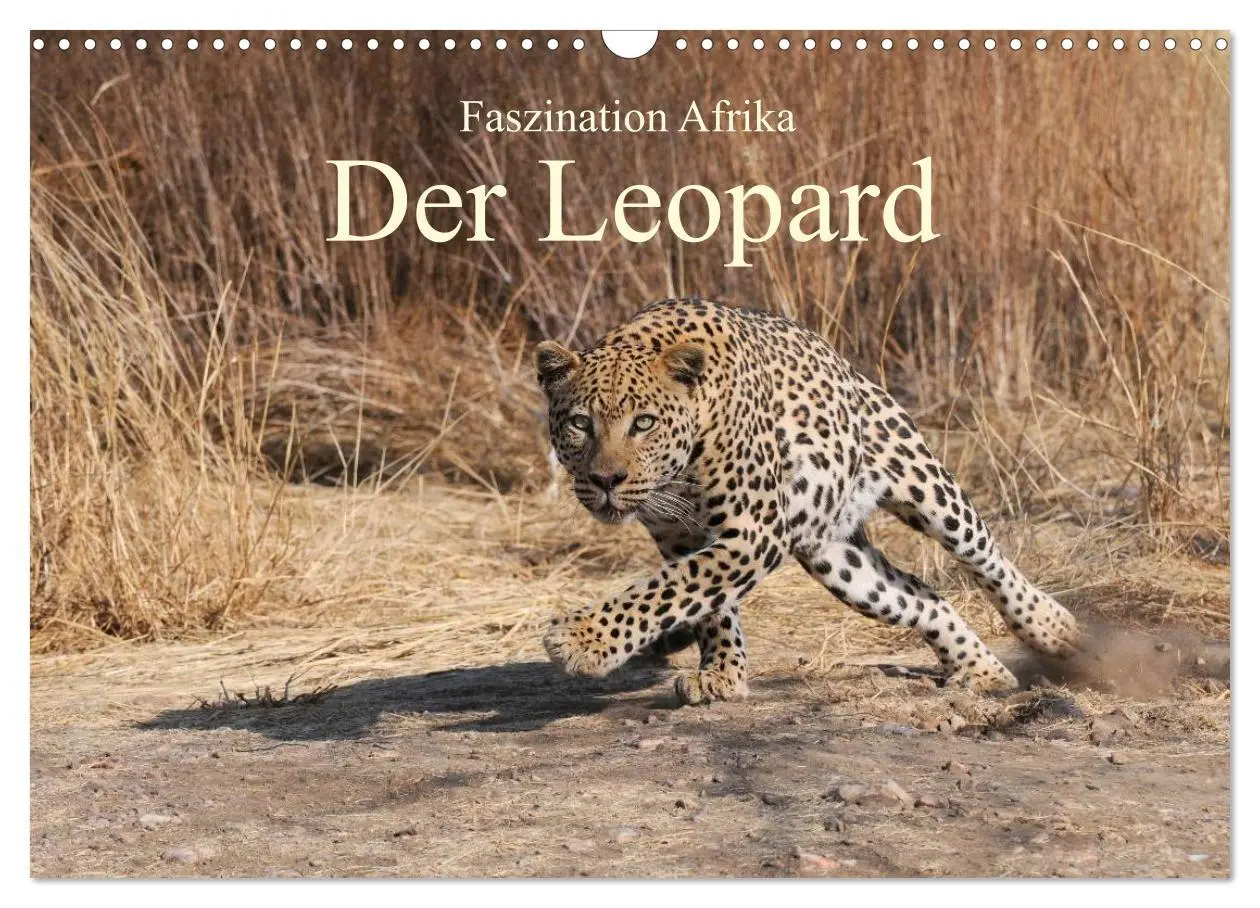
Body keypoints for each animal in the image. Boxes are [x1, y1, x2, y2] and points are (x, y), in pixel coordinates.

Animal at [536, 298, 1081, 705]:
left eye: (644, 423)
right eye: (580, 424)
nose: (606, 479)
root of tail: (845, 365)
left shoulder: (753, 530)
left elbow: (669, 589)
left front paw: (583, 639)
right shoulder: (683, 537)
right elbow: (705, 601)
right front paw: (722, 674)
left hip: (924, 483)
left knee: (986, 556)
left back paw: (1052, 628)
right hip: (838, 561)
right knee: (925, 597)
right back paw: (984, 672)